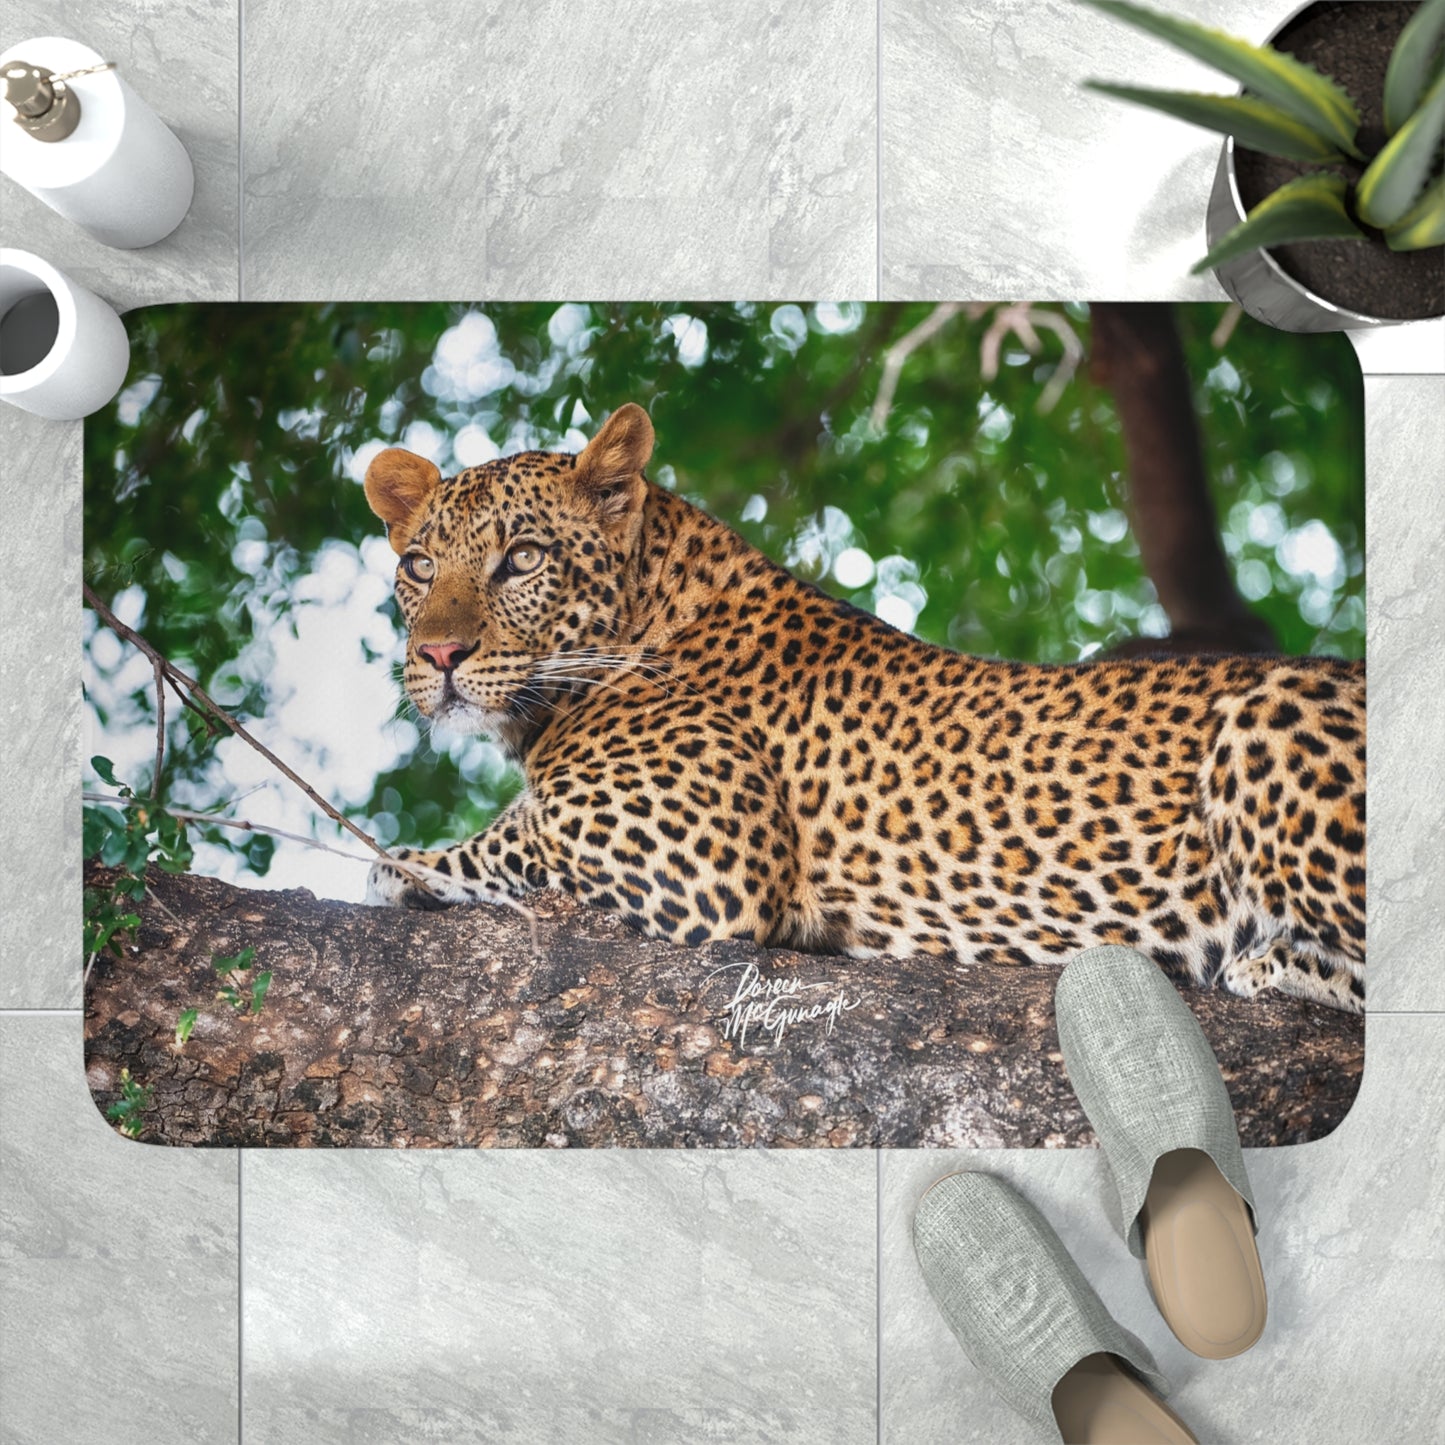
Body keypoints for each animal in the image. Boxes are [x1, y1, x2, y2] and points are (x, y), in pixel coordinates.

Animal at [362, 402, 1366, 1013]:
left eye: (522, 559)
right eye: (419, 566)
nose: (438, 656)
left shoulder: (700, 858)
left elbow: (504, 837)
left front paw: (403, 866)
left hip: (1266, 711)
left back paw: (1265, 959)